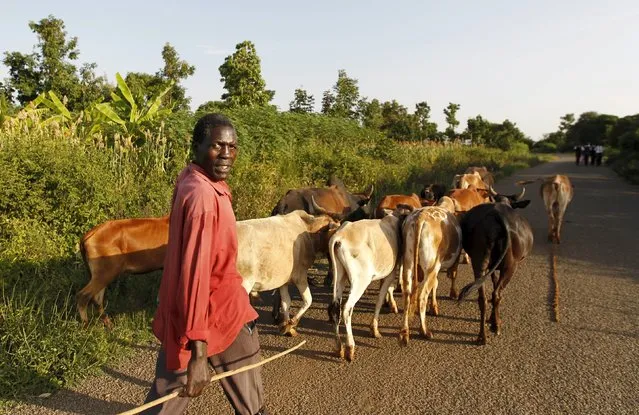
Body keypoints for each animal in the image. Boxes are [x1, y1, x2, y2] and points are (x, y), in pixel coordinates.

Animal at [328, 206, 412, 362]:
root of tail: (340, 236)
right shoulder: (389, 274)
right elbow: (380, 299)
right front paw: (375, 329)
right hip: (360, 280)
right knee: (347, 309)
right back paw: (350, 348)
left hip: (340, 276)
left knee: (335, 308)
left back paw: (339, 348)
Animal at [398, 197, 462, 346]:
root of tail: (420, 217)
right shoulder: (452, 262)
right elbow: (448, 278)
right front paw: (451, 295)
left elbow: (435, 284)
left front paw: (433, 306)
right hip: (431, 266)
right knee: (422, 295)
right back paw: (424, 330)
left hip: (409, 263)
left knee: (407, 295)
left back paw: (405, 333)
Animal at [456, 187, 536, 346]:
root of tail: (498, 216)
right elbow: (496, 289)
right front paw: (494, 320)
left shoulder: (491, 267)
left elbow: (493, 282)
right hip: (510, 266)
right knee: (496, 294)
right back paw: (496, 325)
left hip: (479, 262)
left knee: (483, 298)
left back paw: (482, 336)